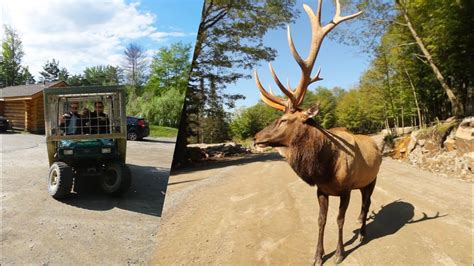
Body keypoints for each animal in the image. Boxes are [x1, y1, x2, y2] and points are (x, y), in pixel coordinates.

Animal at [254, 1, 384, 264]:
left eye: (284, 120)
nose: (256, 138)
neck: (325, 168)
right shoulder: (322, 191)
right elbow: (321, 221)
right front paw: (318, 255)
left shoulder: (345, 189)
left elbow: (339, 220)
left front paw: (340, 253)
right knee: (364, 206)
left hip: (372, 178)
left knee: (367, 203)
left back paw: (363, 232)